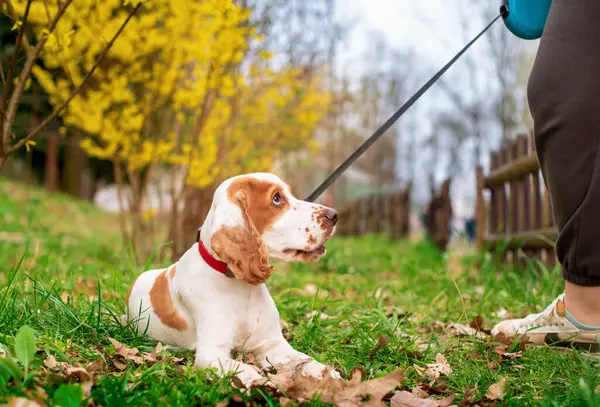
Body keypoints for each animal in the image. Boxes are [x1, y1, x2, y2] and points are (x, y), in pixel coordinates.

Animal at [127, 173, 342, 388]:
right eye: (276, 198)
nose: (334, 215)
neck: (241, 286)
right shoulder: (210, 353)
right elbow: (244, 369)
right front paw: (262, 386)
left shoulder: (271, 344)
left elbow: (304, 359)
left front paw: (328, 376)